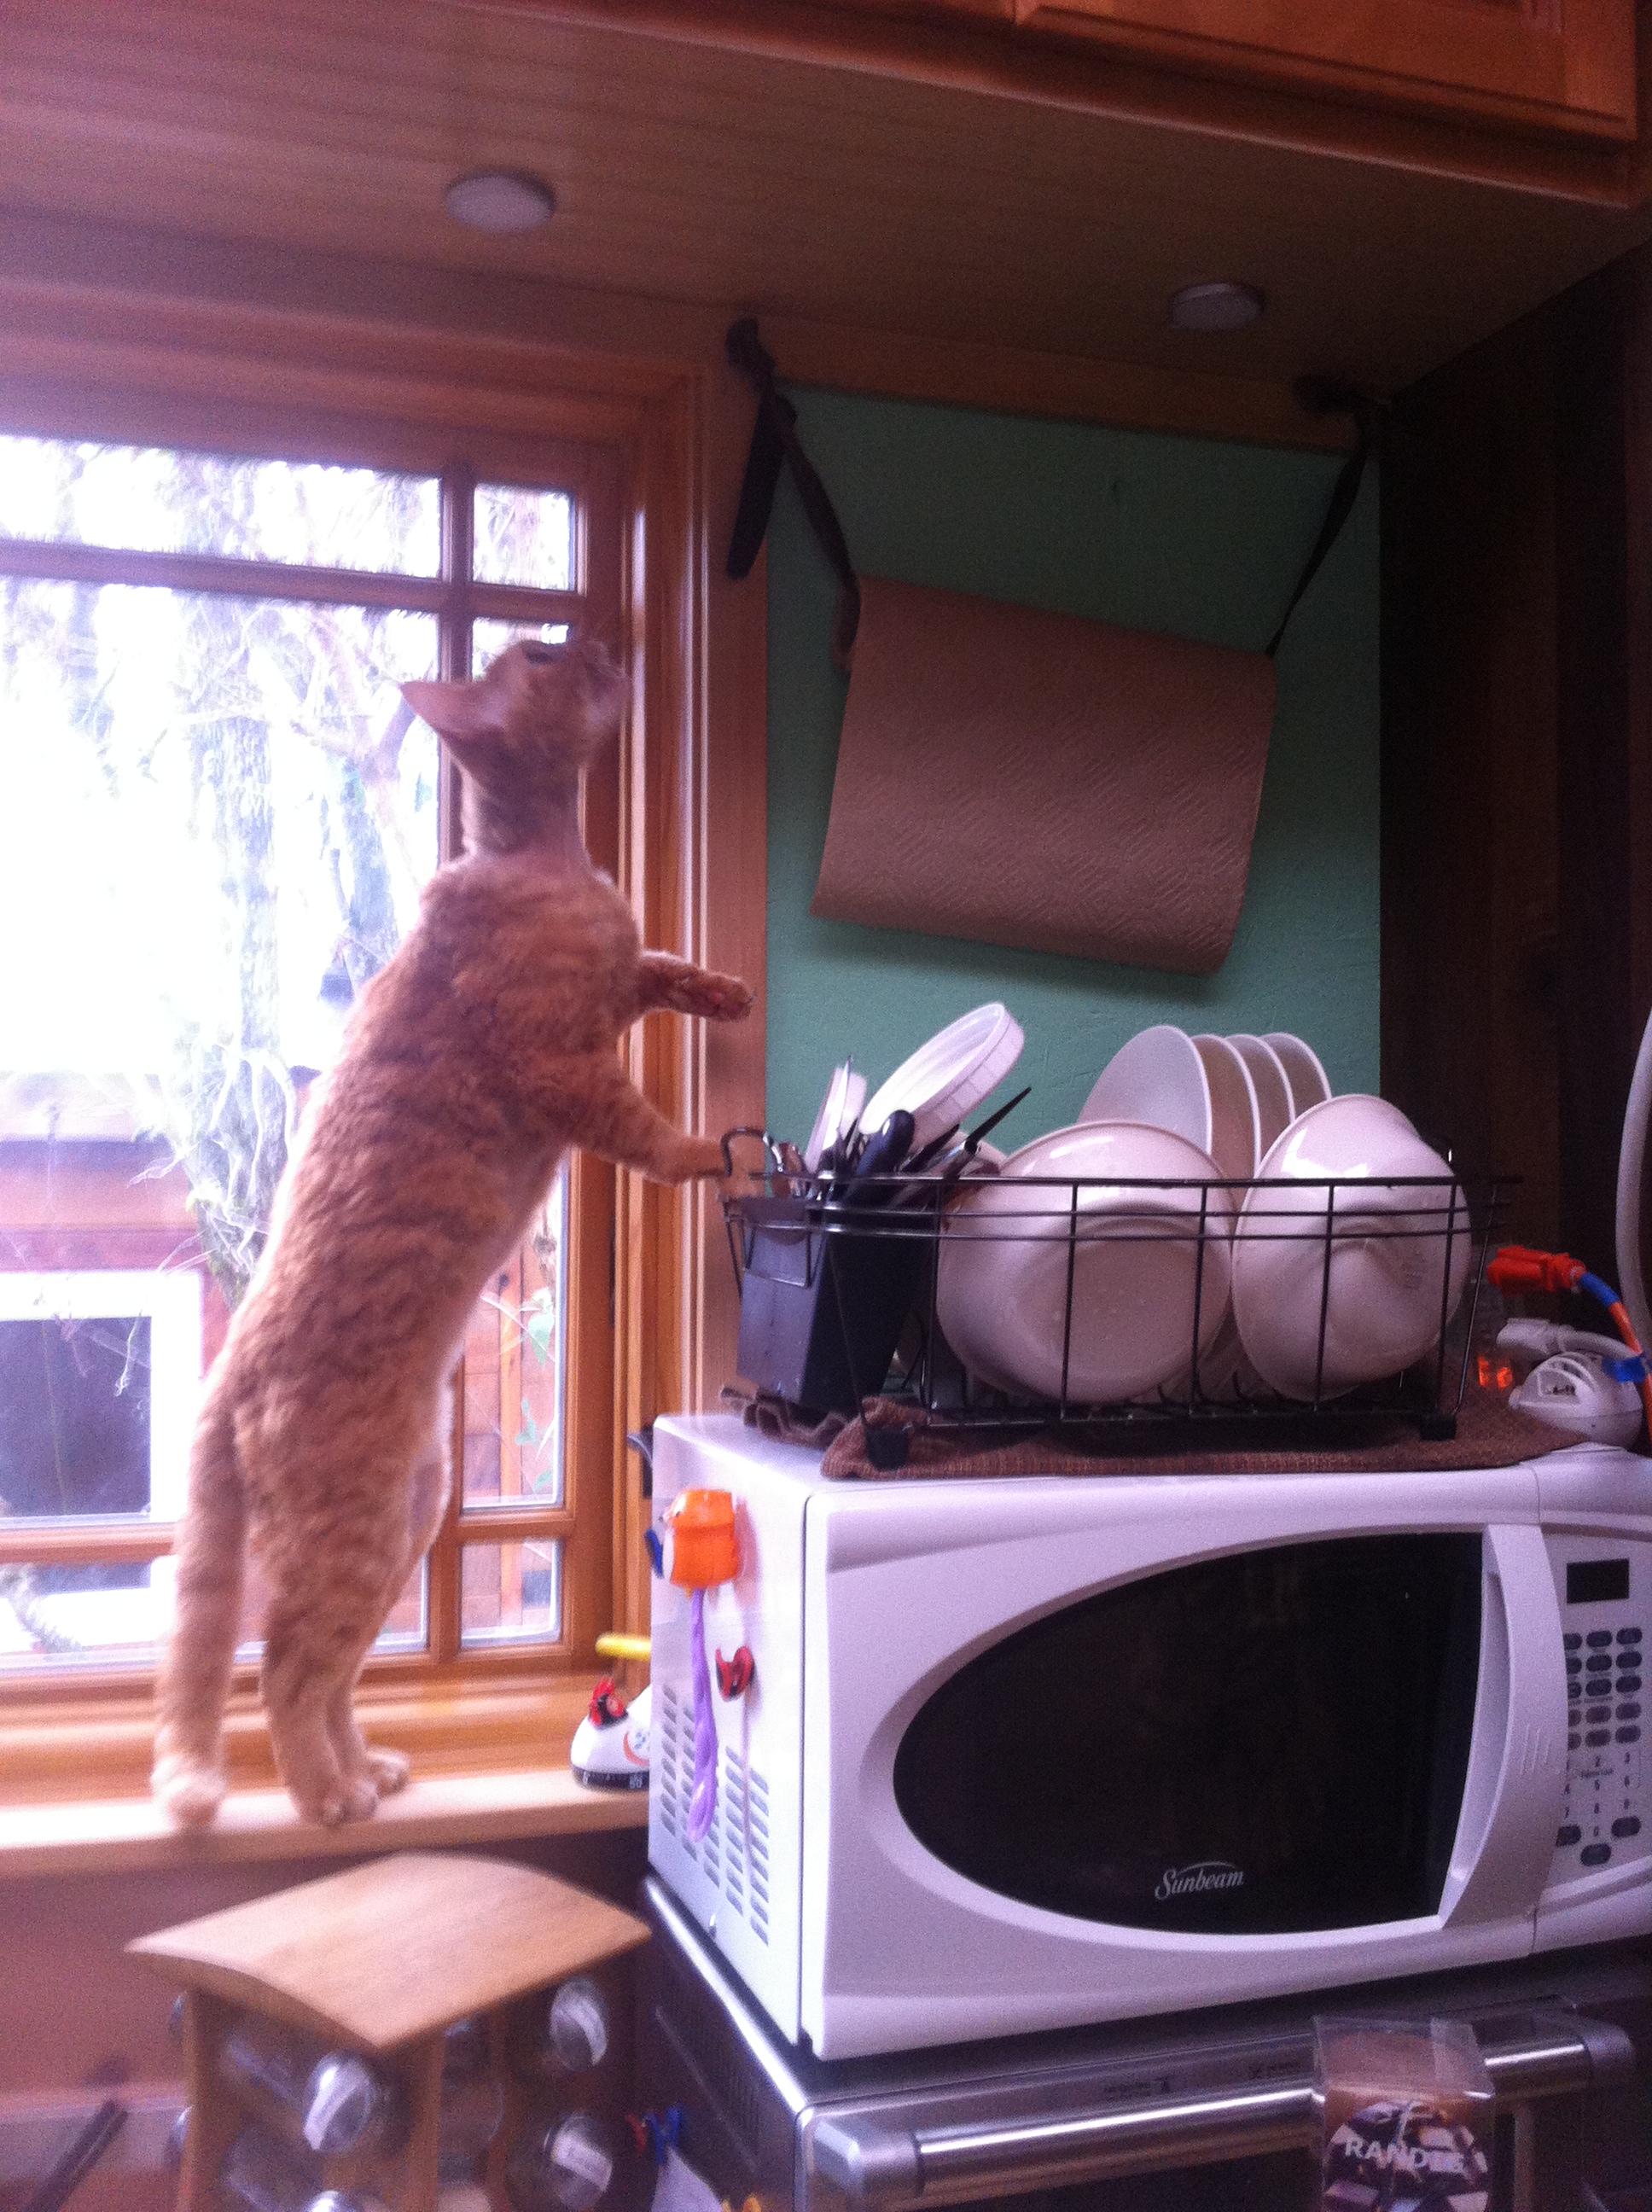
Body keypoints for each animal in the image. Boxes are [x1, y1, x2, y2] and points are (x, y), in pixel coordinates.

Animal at [154, 641, 747, 1831]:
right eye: (545, 658)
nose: (605, 647)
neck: (551, 857)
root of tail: (227, 1375)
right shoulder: (570, 1073)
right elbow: (651, 1135)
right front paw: (708, 1152)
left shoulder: (620, 982)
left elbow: (660, 963)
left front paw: (725, 989)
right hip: (362, 1536)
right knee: (284, 1671)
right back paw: (329, 1798)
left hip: (410, 1525)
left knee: (330, 1674)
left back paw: (368, 1769)